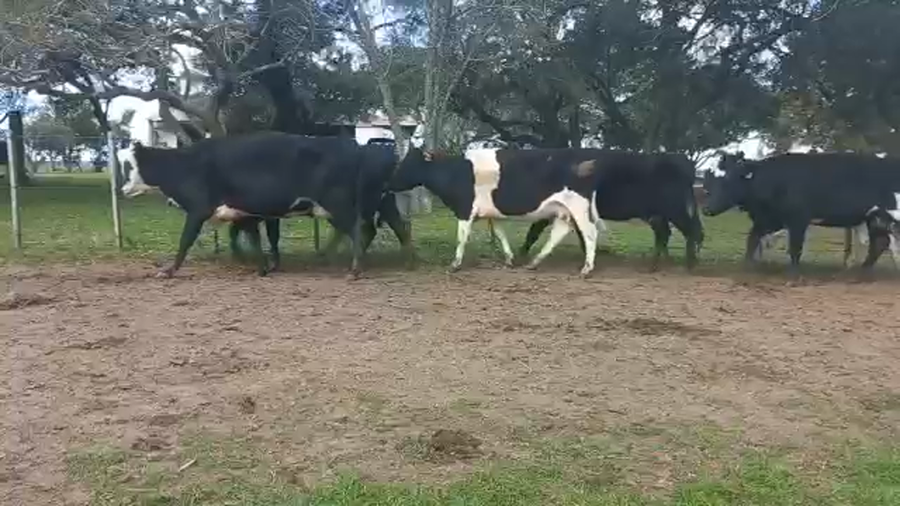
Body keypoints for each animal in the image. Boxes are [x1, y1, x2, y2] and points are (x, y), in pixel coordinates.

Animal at [119, 132, 365, 278]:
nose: (121, 189)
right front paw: (261, 267)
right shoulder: (245, 213)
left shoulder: (198, 210)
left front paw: (169, 271)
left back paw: (354, 269)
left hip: (337, 204)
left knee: (357, 229)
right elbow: (252, 239)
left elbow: (185, 241)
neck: (184, 165)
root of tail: (348, 145)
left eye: (128, 165)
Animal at [388, 147, 602, 276]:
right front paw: (509, 259)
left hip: (578, 207)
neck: (454, 172)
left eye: (409, 163)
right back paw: (534, 262)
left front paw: (455, 264)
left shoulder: (465, 210)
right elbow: (500, 234)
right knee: (559, 233)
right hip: (563, 210)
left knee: (590, 233)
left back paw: (587, 268)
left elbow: (461, 238)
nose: (389, 183)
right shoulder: (492, 214)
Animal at [517, 151, 704, 270]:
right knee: (667, 233)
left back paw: (688, 264)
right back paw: (661, 263)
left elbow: (534, 231)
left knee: (690, 231)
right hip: (658, 213)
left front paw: (521, 254)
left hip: (674, 209)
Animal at [703, 151, 900, 276]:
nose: (706, 209)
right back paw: (862, 272)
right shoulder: (771, 219)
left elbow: (795, 247)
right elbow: (752, 239)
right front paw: (747, 266)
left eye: (727, 183)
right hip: (875, 218)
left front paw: (794, 273)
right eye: (714, 183)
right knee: (879, 243)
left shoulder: (798, 219)